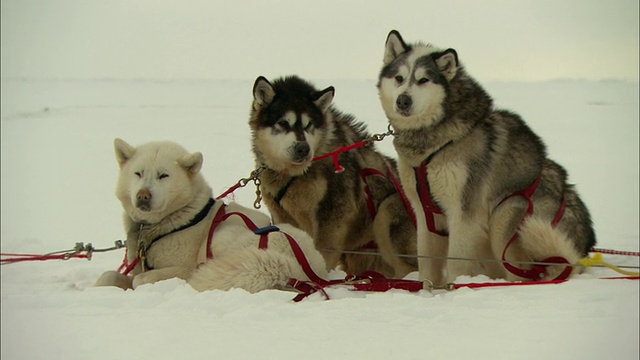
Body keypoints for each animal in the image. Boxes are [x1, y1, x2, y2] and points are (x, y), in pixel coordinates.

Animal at [92, 138, 328, 292]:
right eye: (138, 173)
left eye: (163, 175)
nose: (143, 195)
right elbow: (108, 276)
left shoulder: (182, 268)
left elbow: (139, 280)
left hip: (223, 236)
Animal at [248, 76, 418, 278]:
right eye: (283, 123)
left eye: (309, 125)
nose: (303, 149)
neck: (294, 175)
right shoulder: (282, 214)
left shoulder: (333, 213)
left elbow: (323, 252)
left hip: (388, 210)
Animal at [378, 30, 596, 284]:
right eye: (399, 78)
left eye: (423, 80)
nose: (403, 100)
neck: (433, 145)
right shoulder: (424, 215)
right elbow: (427, 263)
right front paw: (429, 289)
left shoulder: (464, 214)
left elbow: (456, 261)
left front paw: (456, 287)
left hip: (509, 213)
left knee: (521, 272)